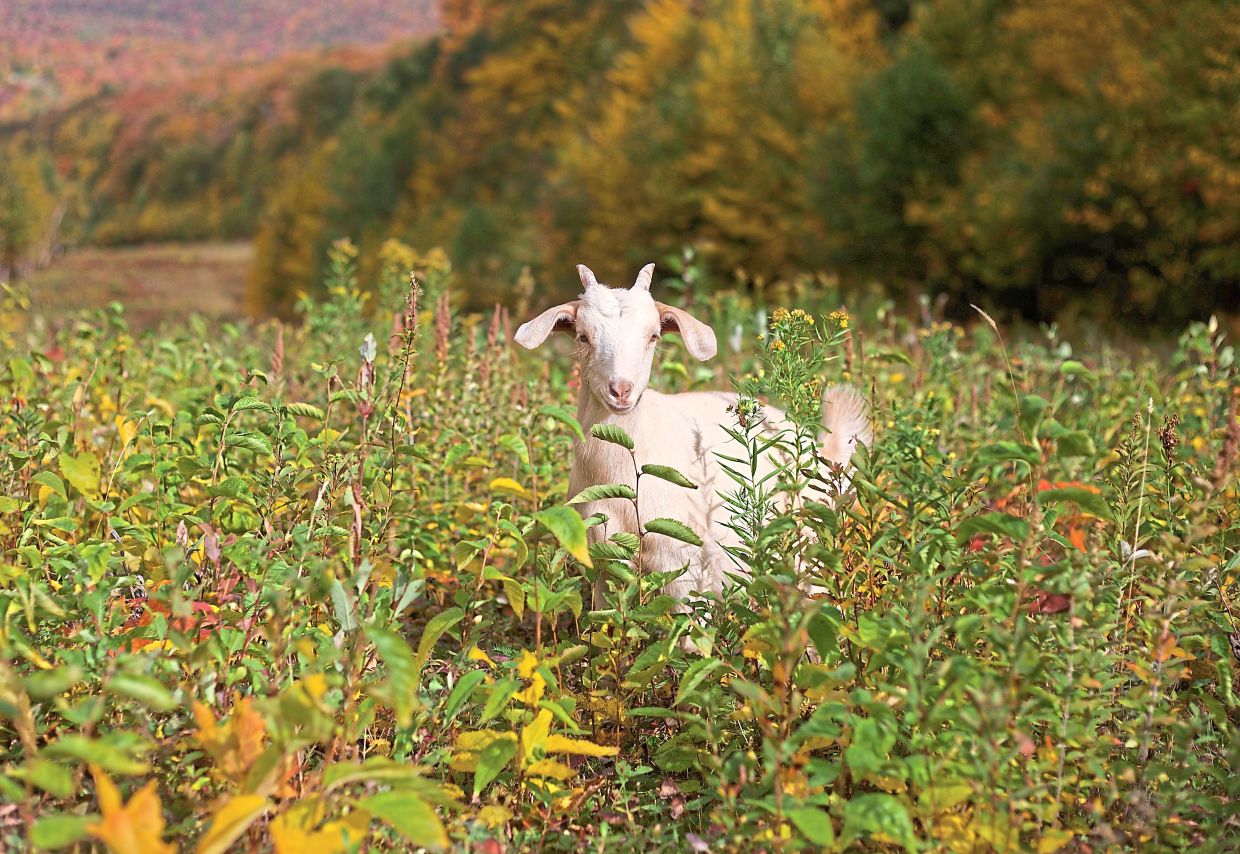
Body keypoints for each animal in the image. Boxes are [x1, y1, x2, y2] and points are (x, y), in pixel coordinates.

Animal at [514, 263, 871, 608]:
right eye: (583, 337)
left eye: (653, 336)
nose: (621, 390)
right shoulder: (605, 561)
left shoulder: (685, 564)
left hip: (808, 548)